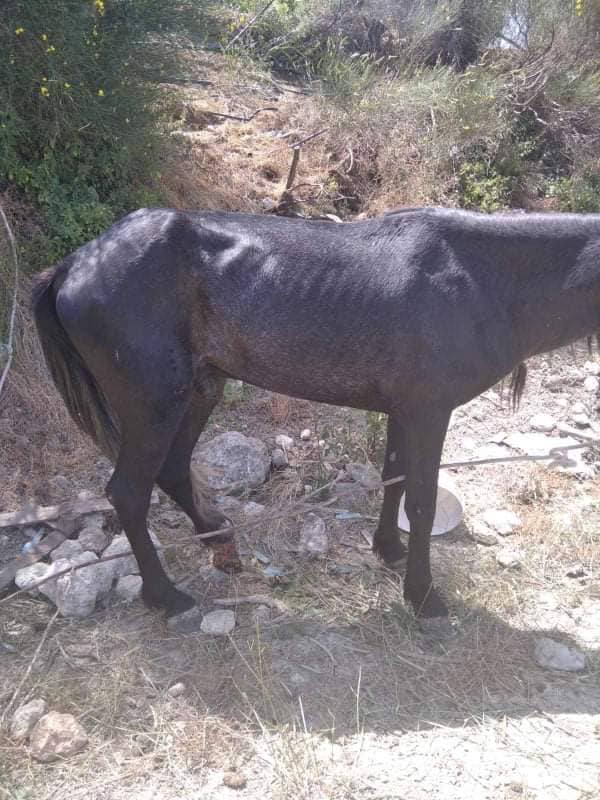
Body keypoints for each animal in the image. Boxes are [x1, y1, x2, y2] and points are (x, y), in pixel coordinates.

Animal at [32, 206, 600, 620]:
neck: (479, 277)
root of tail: (73, 264)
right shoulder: (429, 412)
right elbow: (419, 500)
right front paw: (423, 597)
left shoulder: (405, 410)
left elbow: (393, 480)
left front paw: (388, 551)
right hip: (155, 403)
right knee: (128, 493)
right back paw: (166, 598)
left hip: (200, 388)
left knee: (171, 470)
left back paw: (219, 538)